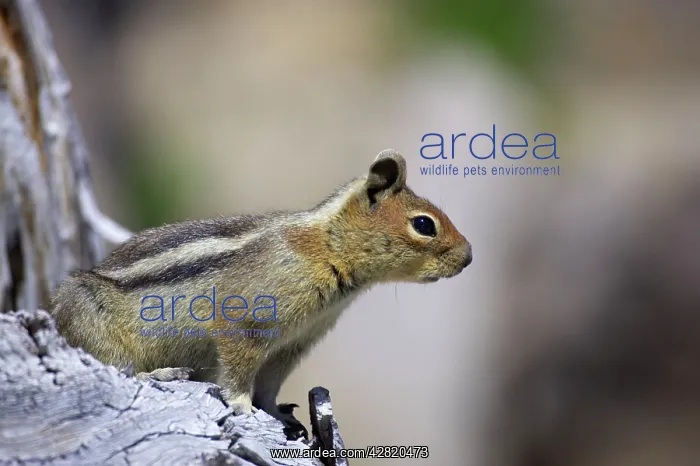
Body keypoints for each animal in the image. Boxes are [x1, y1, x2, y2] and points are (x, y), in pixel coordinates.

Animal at [49, 149, 472, 440]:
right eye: (424, 225)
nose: (469, 257)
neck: (326, 247)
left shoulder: (294, 343)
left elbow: (270, 383)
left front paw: (276, 413)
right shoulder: (246, 320)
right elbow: (239, 369)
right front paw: (241, 406)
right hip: (84, 312)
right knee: (115, 365)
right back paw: (160, 372)